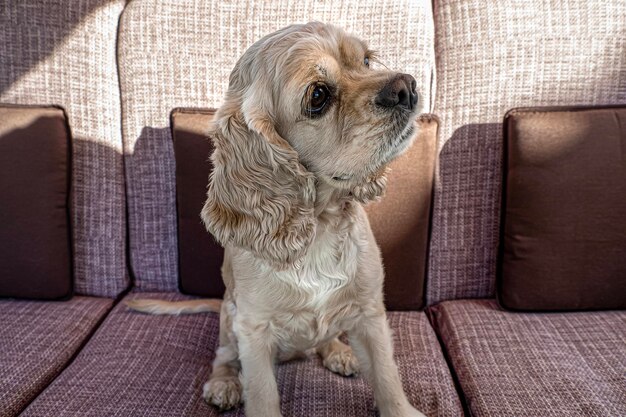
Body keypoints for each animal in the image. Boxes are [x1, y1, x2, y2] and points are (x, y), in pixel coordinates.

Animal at [129, 22, 426, 416]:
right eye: (318, 96)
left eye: (365, 60)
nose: (406, 86)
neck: (318, 227)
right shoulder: (254, 332)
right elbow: (262, 394)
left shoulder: (369, 313)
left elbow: (387, 376)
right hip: (229, 320)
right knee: (222, 356)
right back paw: (223, 384)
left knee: (325, 339)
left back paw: (339, 352)